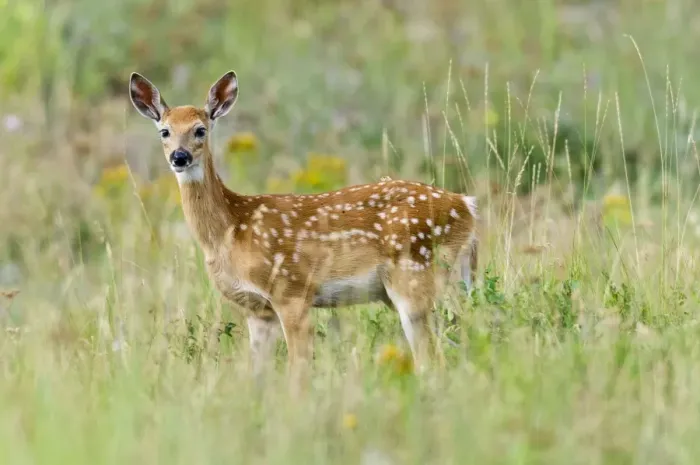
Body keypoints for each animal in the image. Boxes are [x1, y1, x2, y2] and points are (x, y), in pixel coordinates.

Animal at [128, 70, 479, 382]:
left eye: (200, 130)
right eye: (164, 131)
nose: (179, 156)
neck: (232, 229)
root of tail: (467, 205)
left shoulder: (292, 290)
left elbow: (299, 371)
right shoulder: (258, 311)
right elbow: (257, 377)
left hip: (413, 274)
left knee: (432, 358)